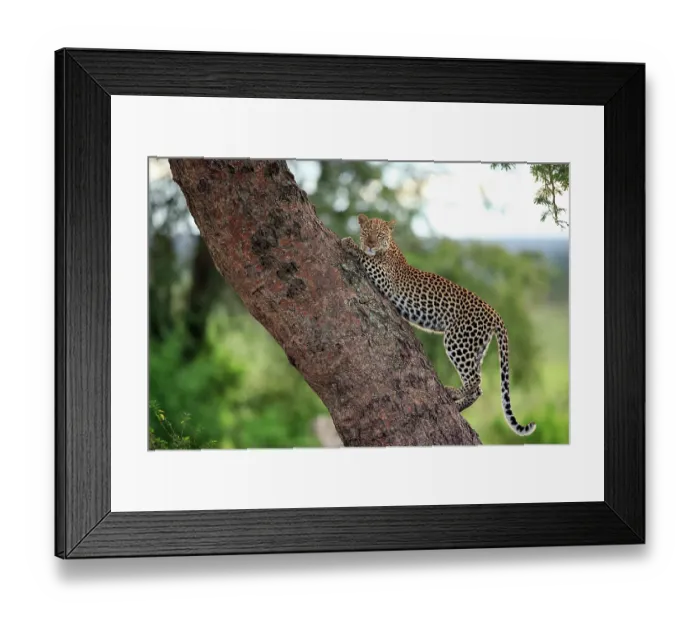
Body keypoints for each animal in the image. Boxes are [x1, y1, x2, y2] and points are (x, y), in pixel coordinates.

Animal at [341, 214, 536, 437]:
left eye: (380, 235)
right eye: (366, 232)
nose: (370, 244)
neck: (389, 247)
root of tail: (494, 313)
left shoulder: (383, 279)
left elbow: (365, 258)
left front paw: (348, 243)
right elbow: (366, 256)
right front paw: (354, 244)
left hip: (458, 340)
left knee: (475, 380)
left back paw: (452, 392)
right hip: (476, 347)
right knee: (478, 385)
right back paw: (457, 404)